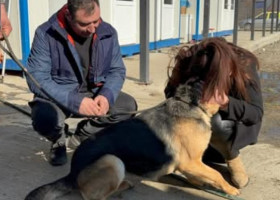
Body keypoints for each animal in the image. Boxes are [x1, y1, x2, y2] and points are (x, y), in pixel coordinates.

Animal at [24, 80, 238, 199]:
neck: (189, 104)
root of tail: (72, 173)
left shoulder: (192, 164)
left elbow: (203, 175)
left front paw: (200, 183)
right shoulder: (190, 162)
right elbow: (217, 175)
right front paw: (231, 189)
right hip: (112, 160)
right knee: (94, 197)